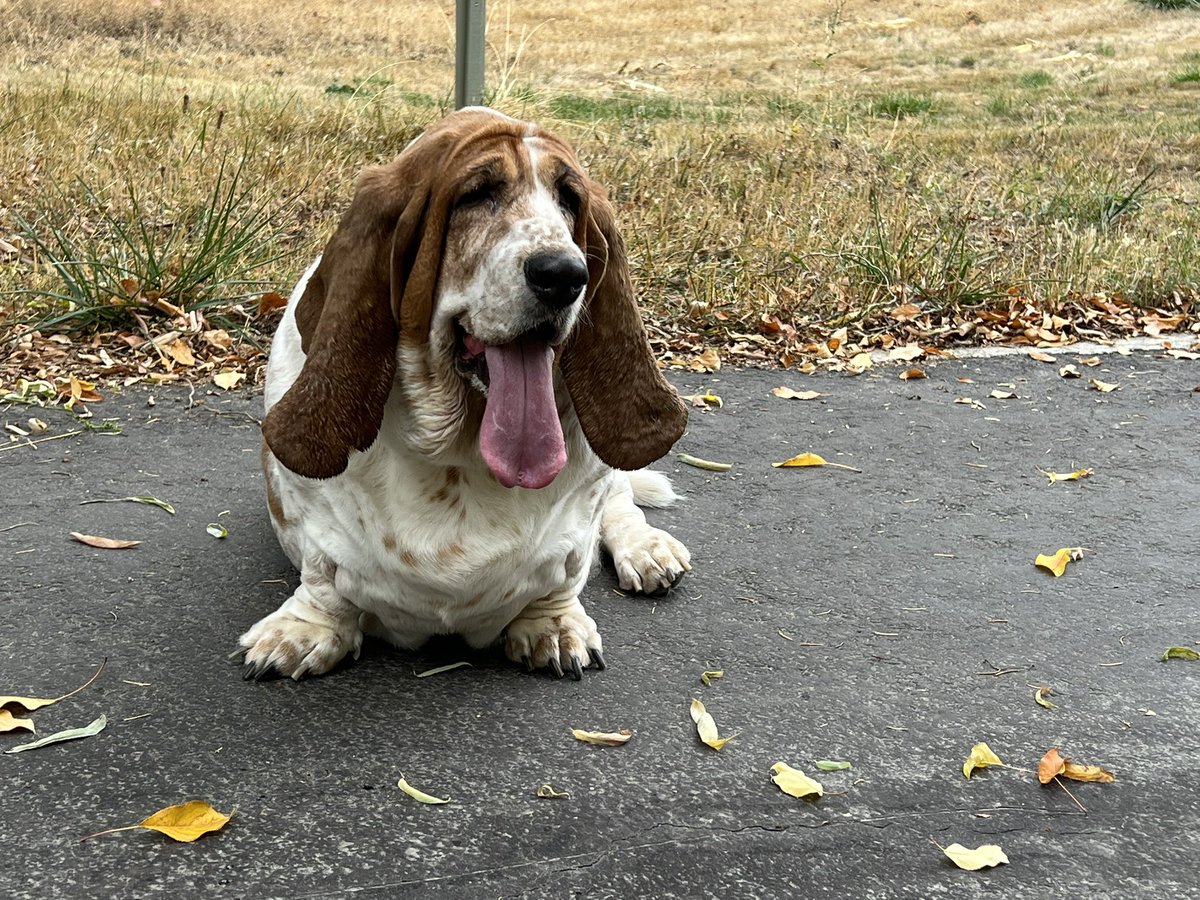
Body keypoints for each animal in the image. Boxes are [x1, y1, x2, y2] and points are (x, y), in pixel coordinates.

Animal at [238, 107, 691, 681]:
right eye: (477, 194)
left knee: (622, 503)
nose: (565, 274)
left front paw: (552, 624)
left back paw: (647, 549)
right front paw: (305, 629)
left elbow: (568, 566)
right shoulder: (315, 521)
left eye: (569, 200)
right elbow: (324, 577)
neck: (457, 457)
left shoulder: (580, 516)